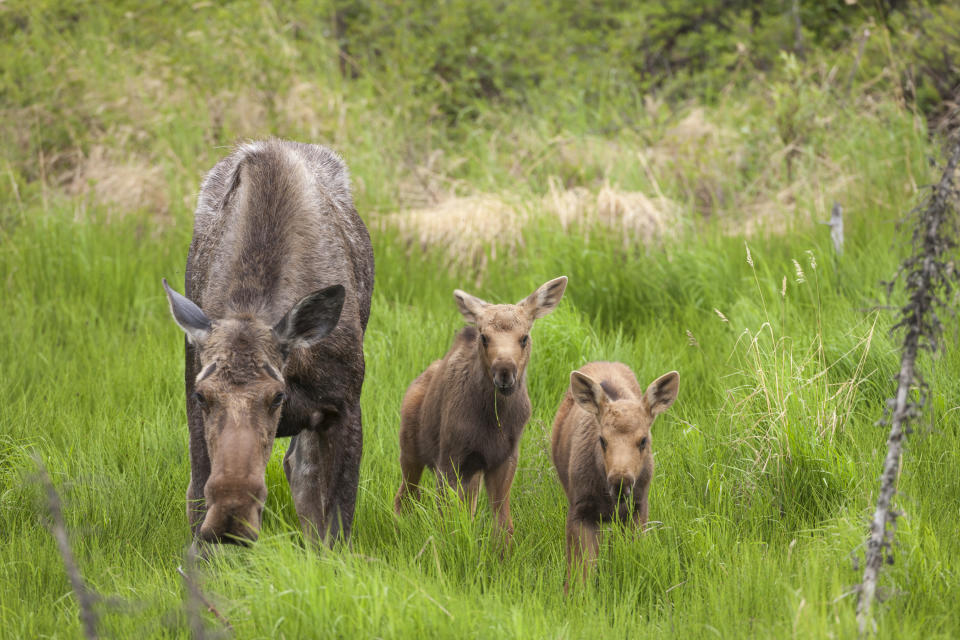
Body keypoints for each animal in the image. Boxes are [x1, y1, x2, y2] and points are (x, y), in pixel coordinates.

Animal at [163, 142, 374, 548]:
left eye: (278, 396)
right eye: (202, 395)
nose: (230, 520)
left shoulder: (344, 403)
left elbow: (337, 521)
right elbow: (198, 498)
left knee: (300, 468)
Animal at [392, 276, 568, 540]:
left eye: (524, 337)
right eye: (484, 337)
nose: (504, 371)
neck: (493, 421)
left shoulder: (503, 458)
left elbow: (502, 523)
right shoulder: (449, 460)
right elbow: (447, 522)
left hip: (470, 471)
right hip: (410, 451)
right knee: (405, 496)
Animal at [552, 362, 680, 588]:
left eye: (644, 440)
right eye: (602, 439)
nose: (620, 482)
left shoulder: (638, 508)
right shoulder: (580, 508)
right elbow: (581, 572)